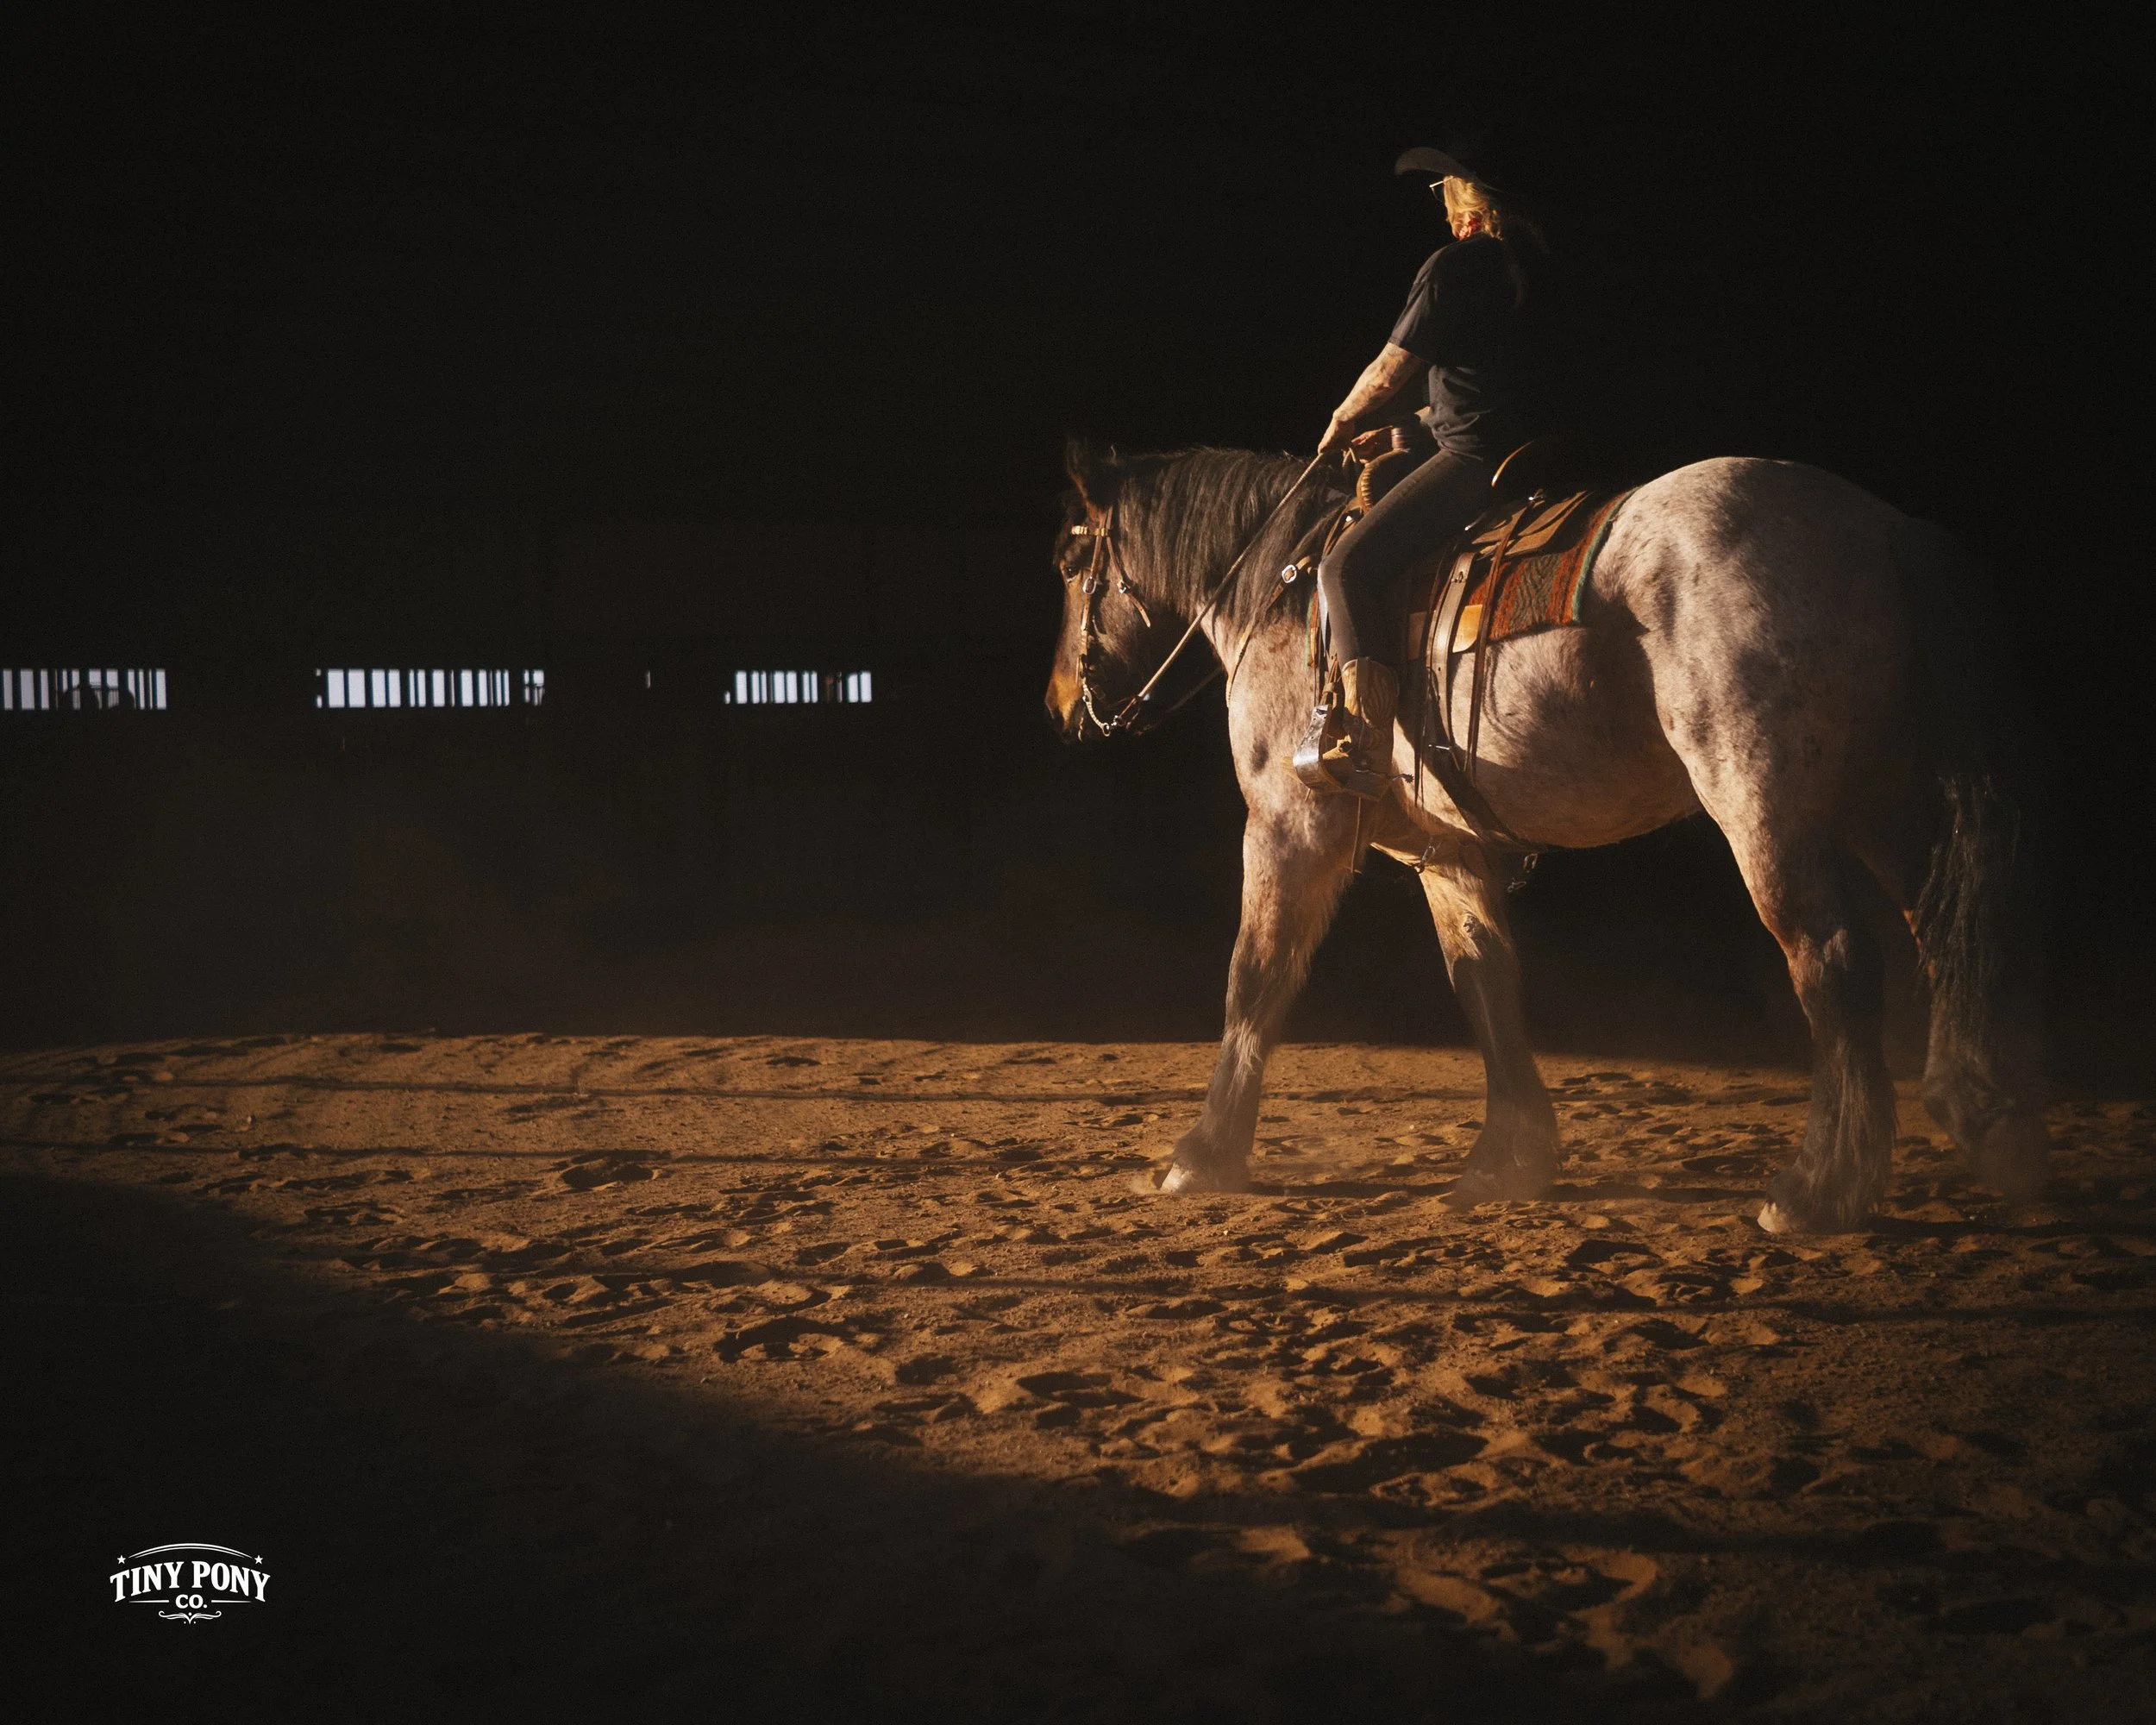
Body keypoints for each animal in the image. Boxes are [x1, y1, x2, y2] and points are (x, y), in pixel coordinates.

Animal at [1043, 443, 2048, 1234]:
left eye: (1069, 559)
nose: (1060, 704)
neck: (1287, 591)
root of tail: (1884, 530)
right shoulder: (1445, 851)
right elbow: (1483, 980)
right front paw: (1508, 1158)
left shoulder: (1289, 825)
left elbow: (1255, 976)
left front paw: (1203, 1153)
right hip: (1882, 806)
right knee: (1941, 936)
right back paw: (1984, 1123)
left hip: (1768, 811)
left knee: (1833, 963)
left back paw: (1816, 1190)